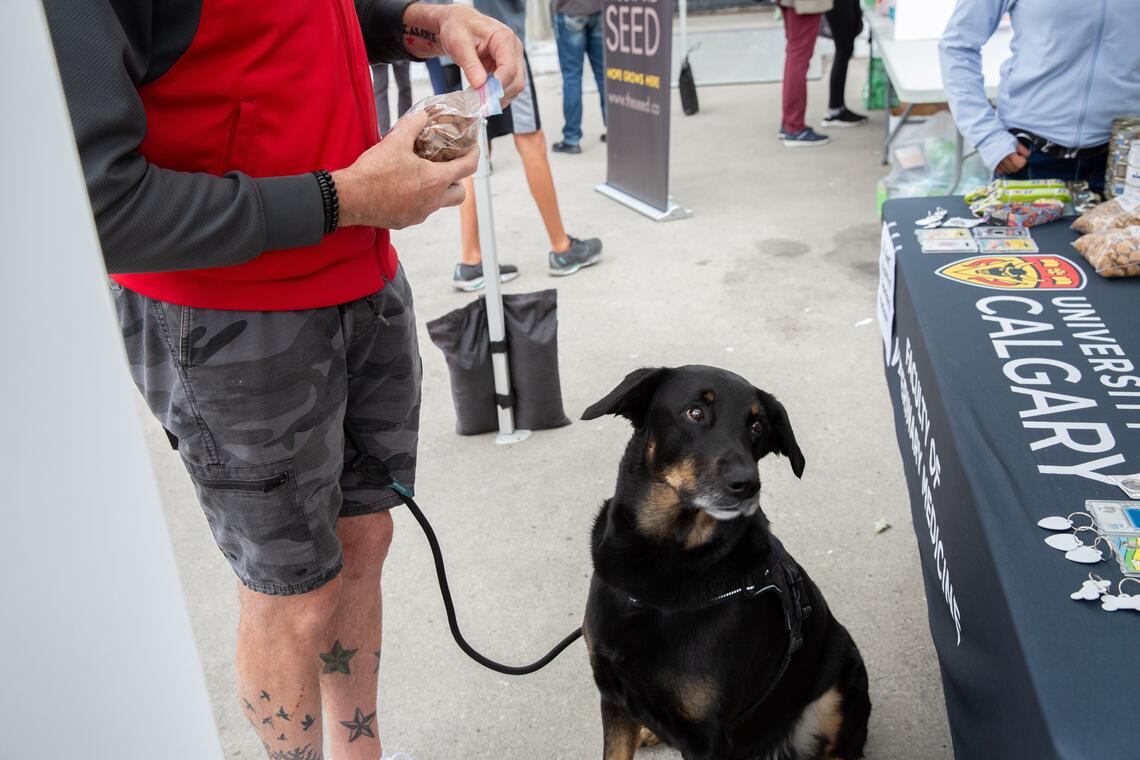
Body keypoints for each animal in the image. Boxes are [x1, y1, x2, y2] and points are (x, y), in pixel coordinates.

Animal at [583, 364, 866, 756]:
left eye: (757, 426)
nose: (747, 485)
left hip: (840, 681)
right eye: (696, 412)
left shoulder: (707, 737)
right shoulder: (613, 695)